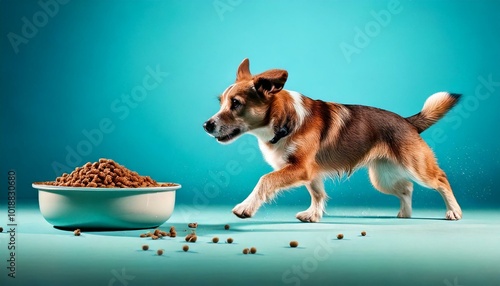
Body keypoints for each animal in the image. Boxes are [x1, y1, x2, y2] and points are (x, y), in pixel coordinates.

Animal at [202, 58, 460, 222]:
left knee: (441, 179)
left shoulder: (301, 168)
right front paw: (313, 215)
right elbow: (317, 194)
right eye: (221, 102)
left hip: (417, 167)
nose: (206, 125)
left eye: (236, 104)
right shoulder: (311, 173)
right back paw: (405, 214)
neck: (283, 120)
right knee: (406, 188)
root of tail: (407, 121)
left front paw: (245, 207)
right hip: (382, 178)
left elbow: (265, 180)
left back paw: (454, 212)